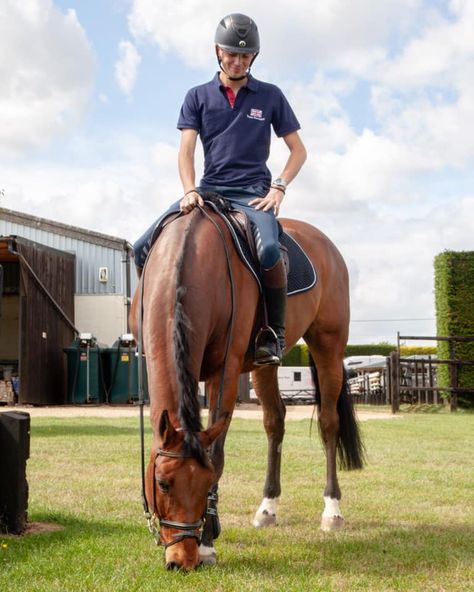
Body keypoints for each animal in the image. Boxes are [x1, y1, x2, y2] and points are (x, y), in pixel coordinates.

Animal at [131, 201, 364, 572]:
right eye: (163, 484)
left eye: (206, 483)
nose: (182, 560)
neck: (189, 257)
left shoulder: (222, 371)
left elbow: (216, 451)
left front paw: (208, 543)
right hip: (263, 366)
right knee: (275, 421)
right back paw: (268, 507)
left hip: (328, 343)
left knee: (329, 423)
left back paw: (332, 511)